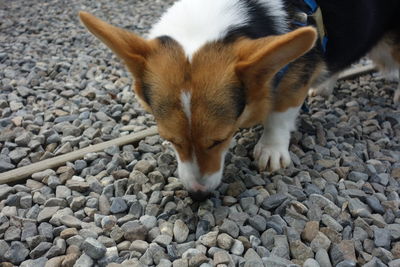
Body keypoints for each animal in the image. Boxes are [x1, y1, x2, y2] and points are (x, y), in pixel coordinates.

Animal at [79, 0, 400, 201]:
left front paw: (271, 150)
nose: (198, 195)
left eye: (220, 140)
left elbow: (279, 115)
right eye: (170, 140)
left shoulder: (290, 81)